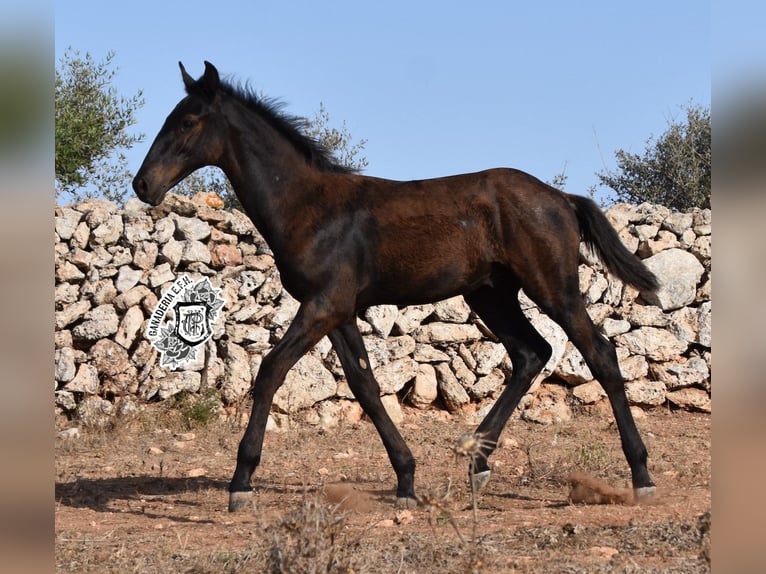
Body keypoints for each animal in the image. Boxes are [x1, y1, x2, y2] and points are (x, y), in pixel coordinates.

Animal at [132, 62, 660, 512]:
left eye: (188, 121)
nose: (143, 185)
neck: (309, 206)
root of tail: (562, 199)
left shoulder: (322, 305)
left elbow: (271, 371)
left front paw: (240, 483)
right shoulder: (338, 310)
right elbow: (364, 385)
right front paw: (406, 479)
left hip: (553, 288)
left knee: (599, 354)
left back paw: (641, 475)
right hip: (490, 294)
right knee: (532, 353)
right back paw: (477, 462)